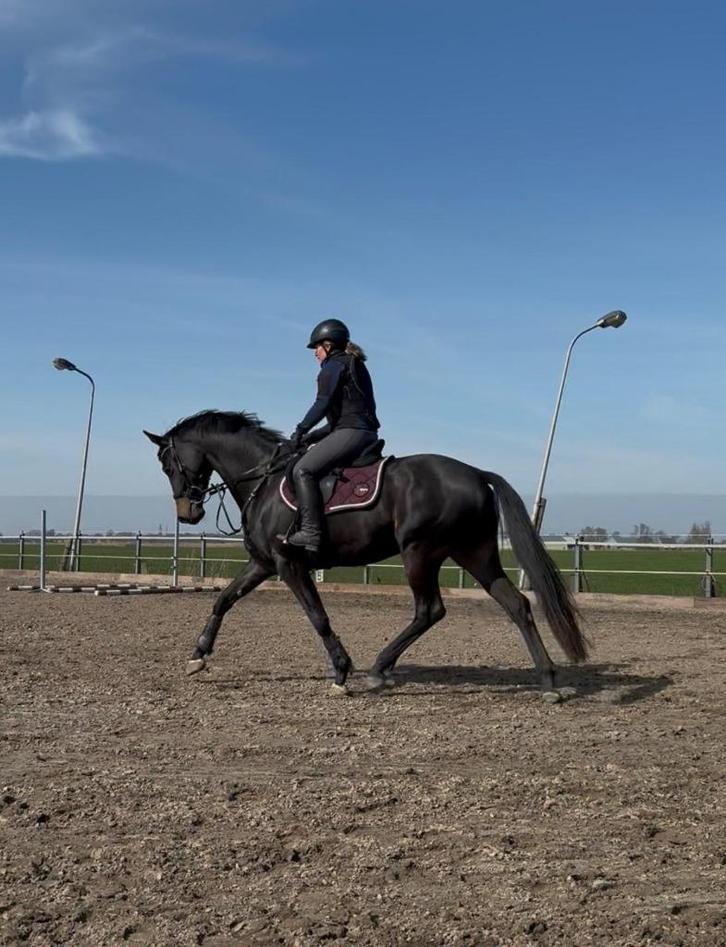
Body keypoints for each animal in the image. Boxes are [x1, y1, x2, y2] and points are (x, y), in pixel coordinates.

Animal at [144, 410, 588, 698]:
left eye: (167, 464)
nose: (187, 514)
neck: (263, 481)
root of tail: (477, 473)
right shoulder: (264, 563)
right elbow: (223, 599)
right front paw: (198, 655)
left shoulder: (289, 564)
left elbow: (317, 616)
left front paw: (342, 671)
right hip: (474, 555)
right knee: (516, 604)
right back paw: (548, 681)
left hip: (420, 553)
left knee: (430, 610)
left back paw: (378, 669)